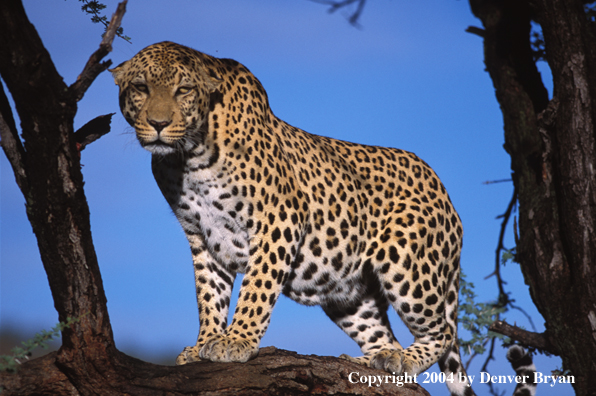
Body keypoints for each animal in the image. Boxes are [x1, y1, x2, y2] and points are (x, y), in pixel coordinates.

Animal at [110, 41, 474, 394]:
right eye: (141, 87)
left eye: (183, 90)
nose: (158, 124)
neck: (188, 156)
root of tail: (442, 190)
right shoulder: (202, 236)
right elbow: (209, 295)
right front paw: (204, 345)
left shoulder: (278, 220)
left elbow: (257, 287)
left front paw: (236, 340)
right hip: (349, 293)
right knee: (384, 336)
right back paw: (373, 361)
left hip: (409, 264)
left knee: (441, 330)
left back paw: (403, 359)